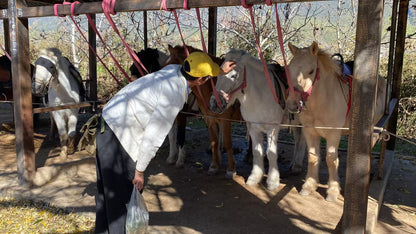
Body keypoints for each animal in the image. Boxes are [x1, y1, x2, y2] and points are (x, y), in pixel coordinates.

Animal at [210, 49, 304, 190]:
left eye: (233, 76)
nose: (215, 103)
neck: (260, 95)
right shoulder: (253, 127)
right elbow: (257, 151)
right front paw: (255, 177)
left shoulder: (272, 128)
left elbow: (271, 153)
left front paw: (272, 181)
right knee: (298, 141)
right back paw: (294, 165)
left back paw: (298, 166)